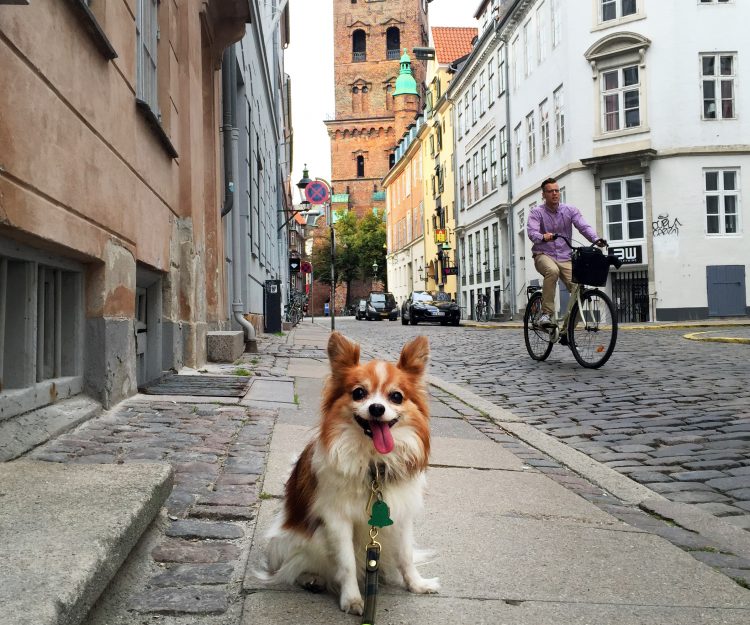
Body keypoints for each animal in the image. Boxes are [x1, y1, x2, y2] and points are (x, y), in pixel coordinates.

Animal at [262, 332, 440, 616]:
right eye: (359, 393)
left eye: (396, 396)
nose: (377, 408)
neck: (373, 462)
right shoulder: (337, 520)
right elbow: (345, 563)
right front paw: (353, 599)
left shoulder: (401, 516)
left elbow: (406, 556)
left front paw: (416, 584)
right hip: (292, 542)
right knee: (292, 566)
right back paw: (311, 578)